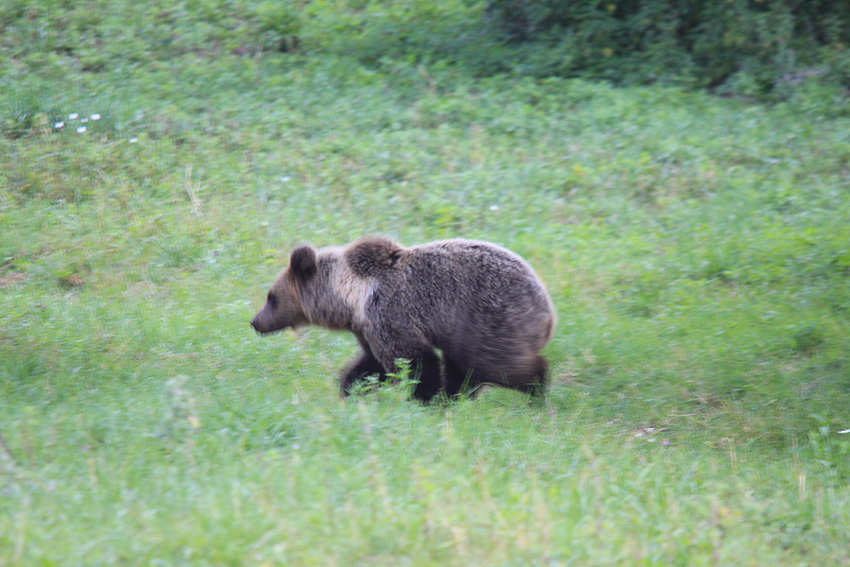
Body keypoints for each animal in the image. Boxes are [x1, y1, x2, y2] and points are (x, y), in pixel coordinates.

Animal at [250, 237, 556, 402]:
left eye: (271, 296)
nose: (255, 322)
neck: (352, 295)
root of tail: (547, 309)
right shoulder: (367, 327)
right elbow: (373, 364)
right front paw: (350, 388)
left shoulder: (389, 312)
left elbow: (413, 361)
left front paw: (425, 400)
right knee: (464, 368)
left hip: (488, 318)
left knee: (495, 363)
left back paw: (537, 390)